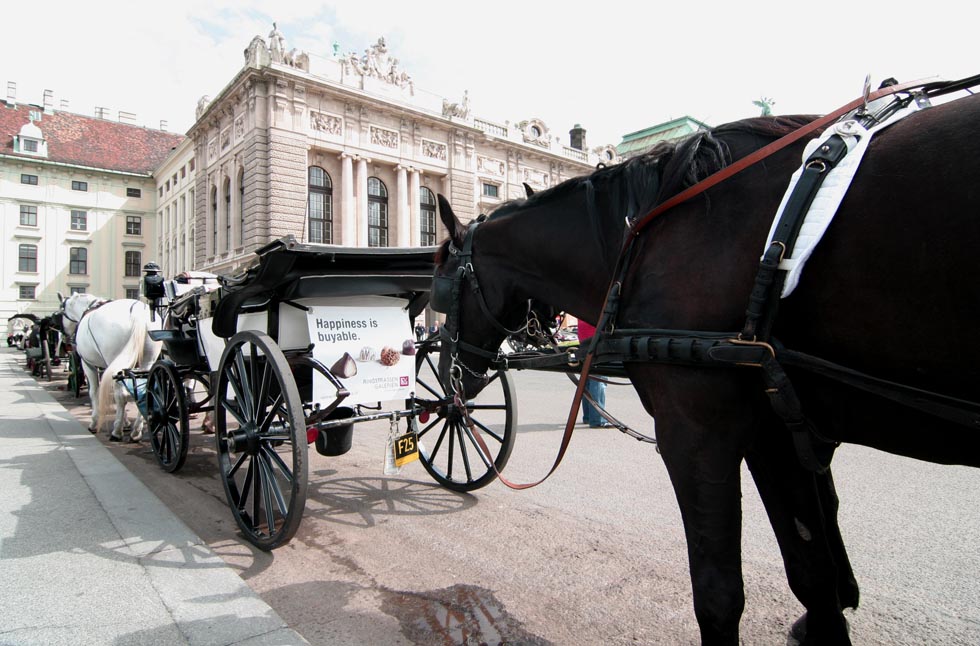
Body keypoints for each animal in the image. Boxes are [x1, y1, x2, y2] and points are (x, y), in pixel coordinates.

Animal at [56, 294, 162, 442]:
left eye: (61, 312)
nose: (63, 336)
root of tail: (137, 311)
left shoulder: (88, 364)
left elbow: (95, 391)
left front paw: (94, 422)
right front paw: (126, 423)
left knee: (121, 395)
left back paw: (116, 432)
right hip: (147, 362)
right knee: (145, 390)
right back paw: (136, 431)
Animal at [432, 85, 980, 644]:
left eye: (439, 288)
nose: (448, 371)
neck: (644, 240)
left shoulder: (702, 434)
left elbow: (727, 593)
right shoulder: (786, 435)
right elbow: (816, 568)